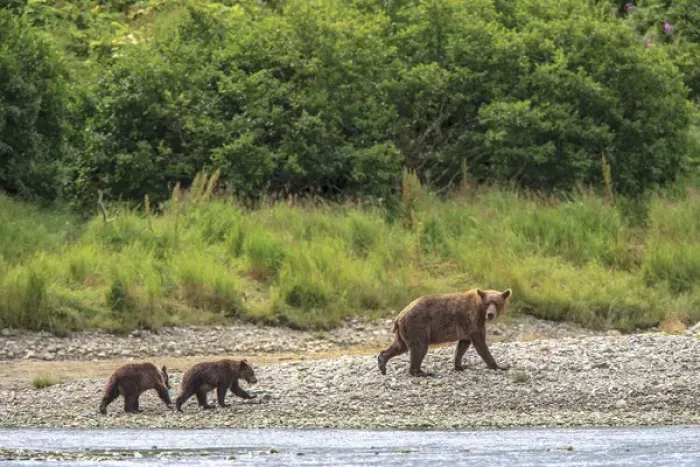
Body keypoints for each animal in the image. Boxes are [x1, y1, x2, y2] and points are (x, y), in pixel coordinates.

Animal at [377, 288, 512, 377]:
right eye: (488, 303)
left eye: (497, 303)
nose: (490, 314)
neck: (480, 311)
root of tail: (399, 315)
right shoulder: (471, 319)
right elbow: (480, 343)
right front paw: (499, 366)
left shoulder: (466, 327)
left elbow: (463, 345)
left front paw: (459, 366)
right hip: (417, 325)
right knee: (419, 347)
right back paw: (422, 372)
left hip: (404, 331)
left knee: (400, 346)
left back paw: (382, 362)